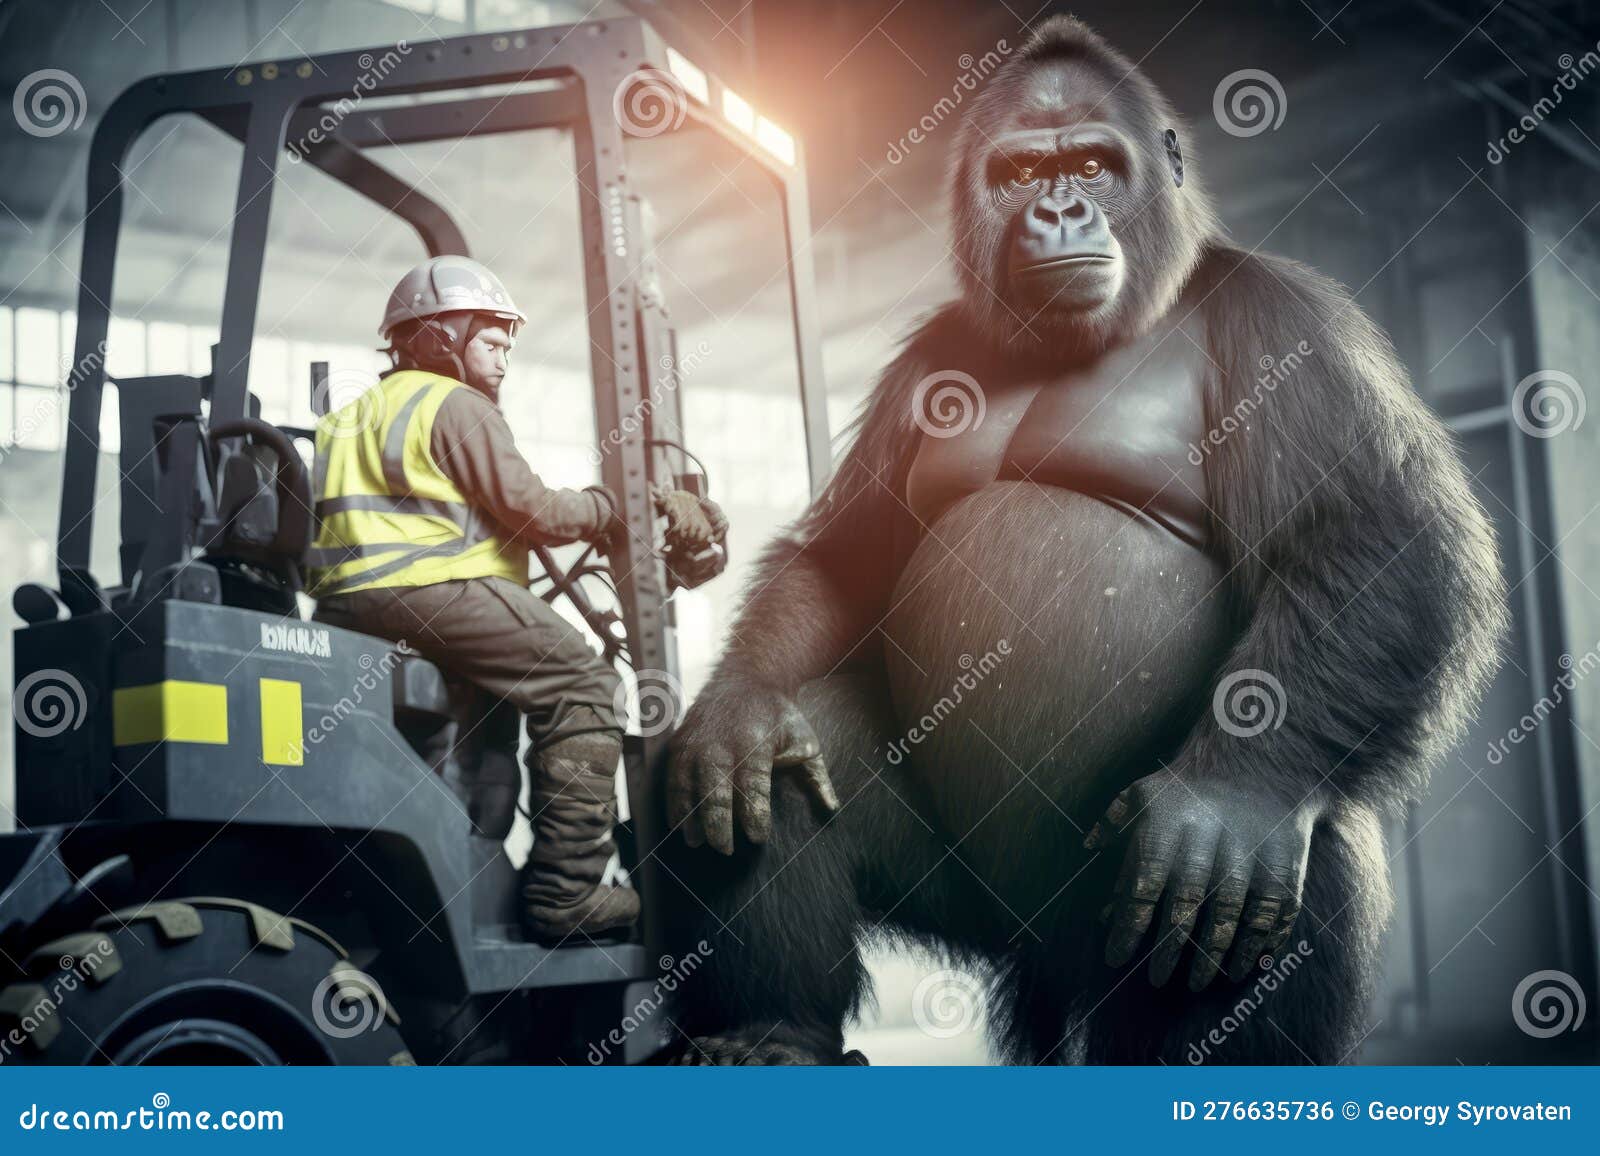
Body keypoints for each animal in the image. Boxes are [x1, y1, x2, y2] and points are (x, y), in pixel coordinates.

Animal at [652, 16, 1506, 1065]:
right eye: (1023, 173)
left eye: (1094, 164)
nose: (1060, 209)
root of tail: (1043, 965)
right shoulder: (923, 360)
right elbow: (846, 561)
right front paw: (737, 710)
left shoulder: (1284, 320)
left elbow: (1372, 532)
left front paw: (1231, 803)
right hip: (984, 914)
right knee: (801, 756)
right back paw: (772, 1026)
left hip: (1107, 923)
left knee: (1298, 845)